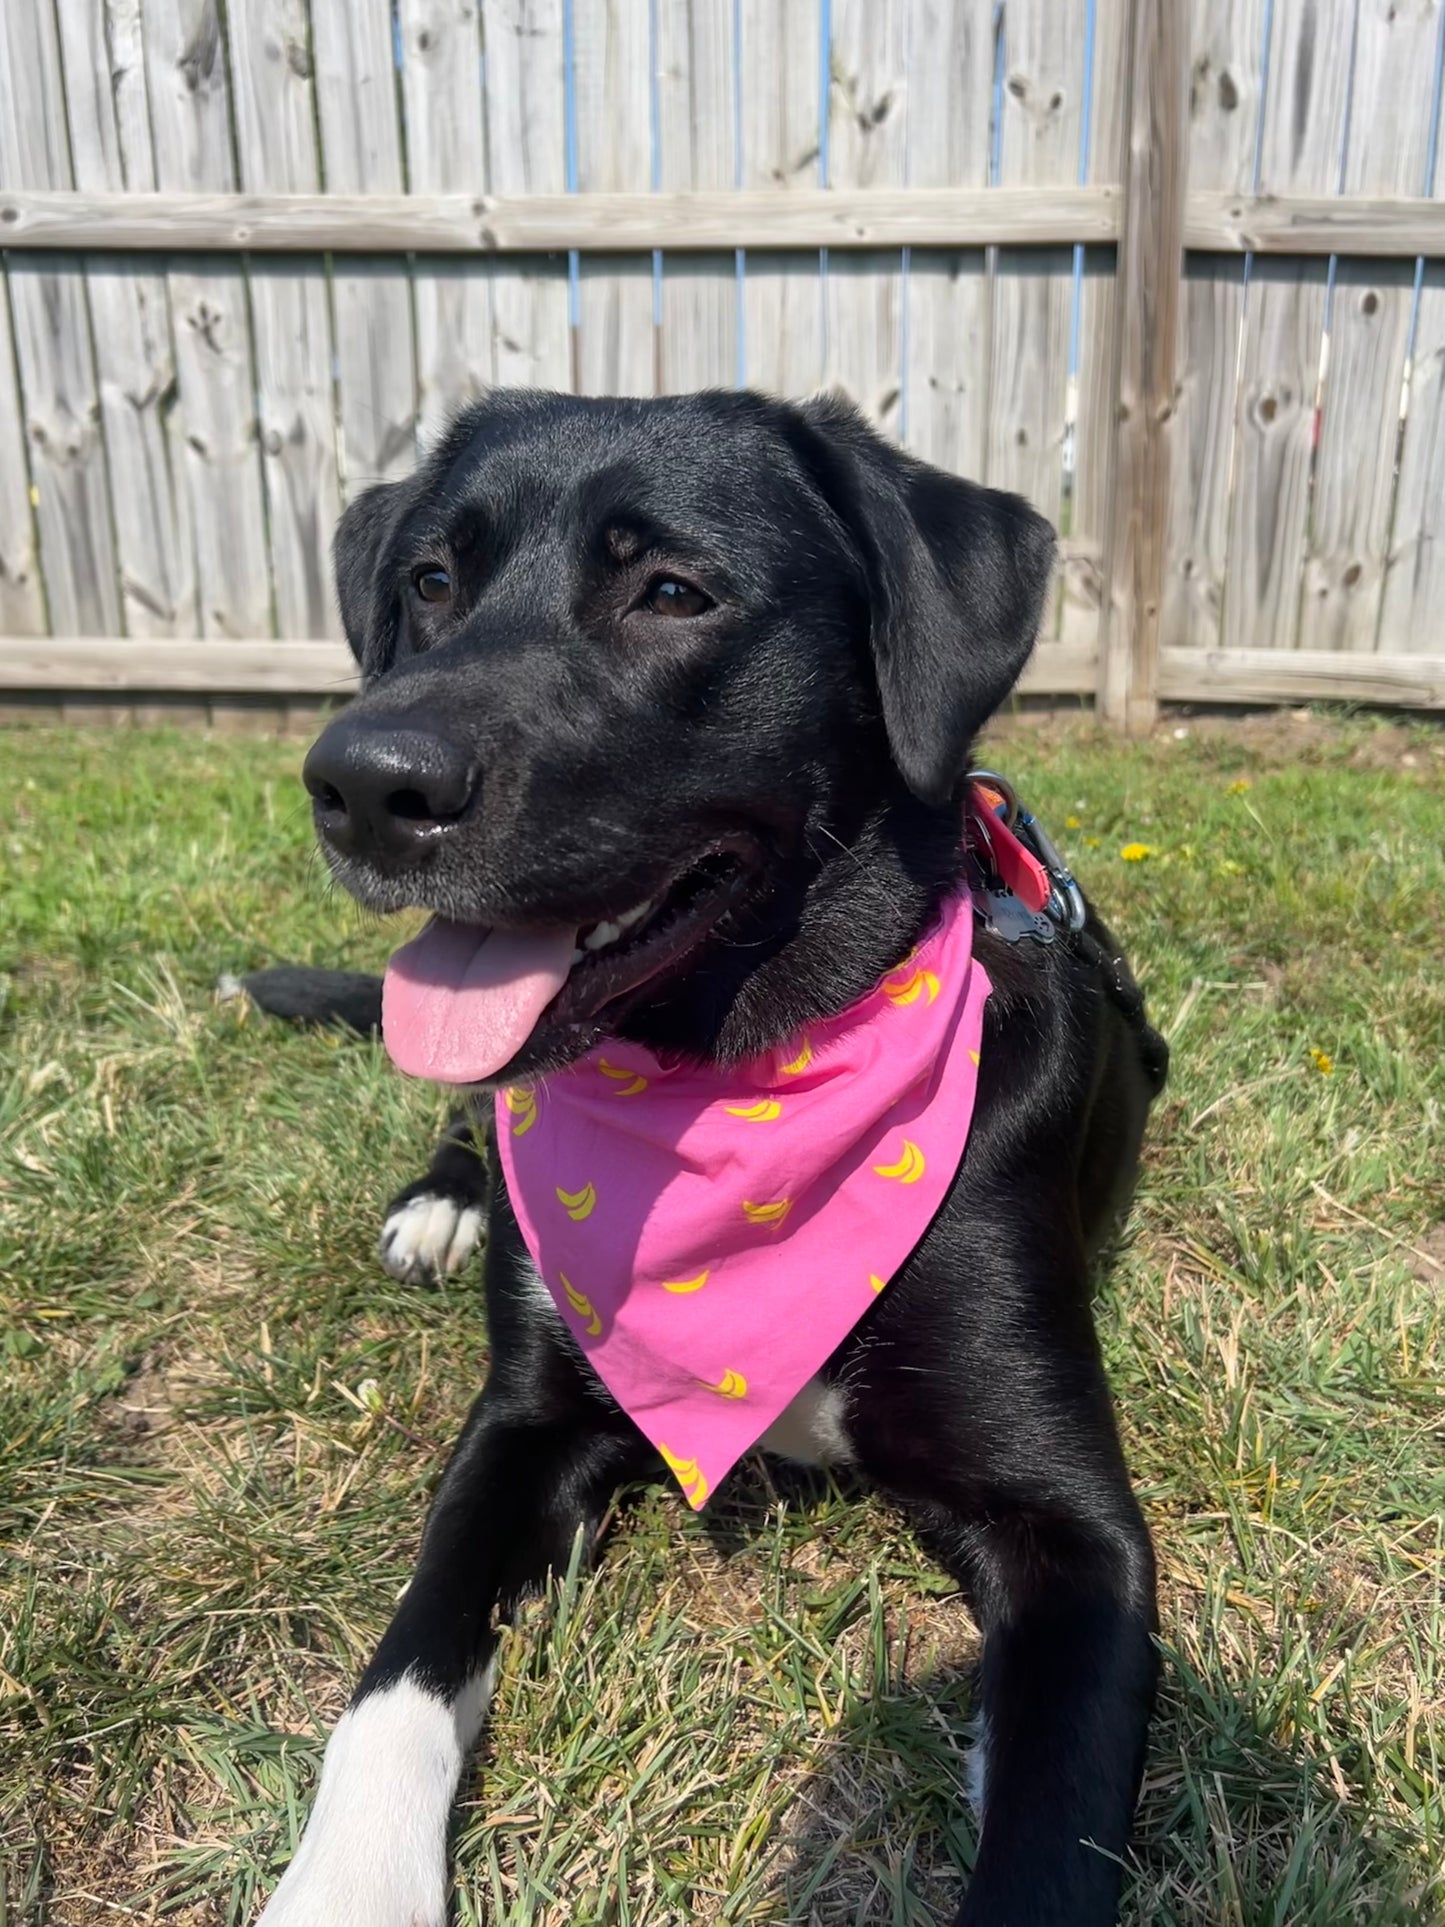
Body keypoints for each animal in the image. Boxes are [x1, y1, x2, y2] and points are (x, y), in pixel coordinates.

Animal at [254, 391, 1171, 1927]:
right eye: (430, 581)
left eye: (672, 592)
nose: (359, 783)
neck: (729, 1078)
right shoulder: (522, 1423)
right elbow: (397, 1676)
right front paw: (345, 1885)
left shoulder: (1077, 1533)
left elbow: (1049, 1833)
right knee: (469, 1116)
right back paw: (442, 1199)